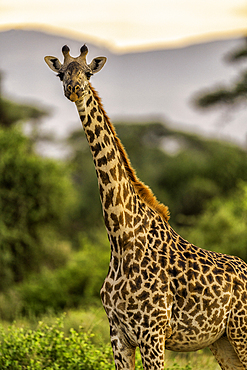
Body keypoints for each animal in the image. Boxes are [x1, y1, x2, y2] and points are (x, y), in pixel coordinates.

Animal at [45, 44, 247, 368]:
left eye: (88, 73)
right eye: (61, 74)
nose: (74, 89)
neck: (121, 239)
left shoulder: (153, 333)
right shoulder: (118, 335)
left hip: (240, 332)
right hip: (223, 341)